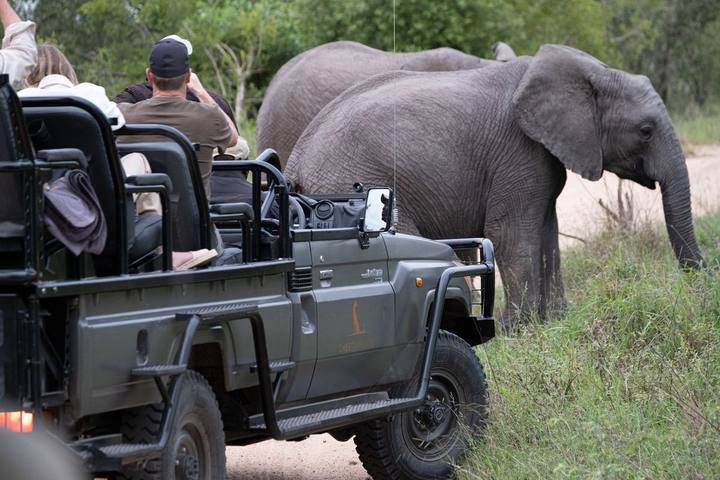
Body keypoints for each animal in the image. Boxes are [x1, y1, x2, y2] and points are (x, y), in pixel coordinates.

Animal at [285, 44, 704, 327]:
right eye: (645, 130)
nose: (700, 281)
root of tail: (295, 157)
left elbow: (547, 232)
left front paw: (555, 321)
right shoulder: (517, 151)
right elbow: (511, 234)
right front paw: (518, 328)